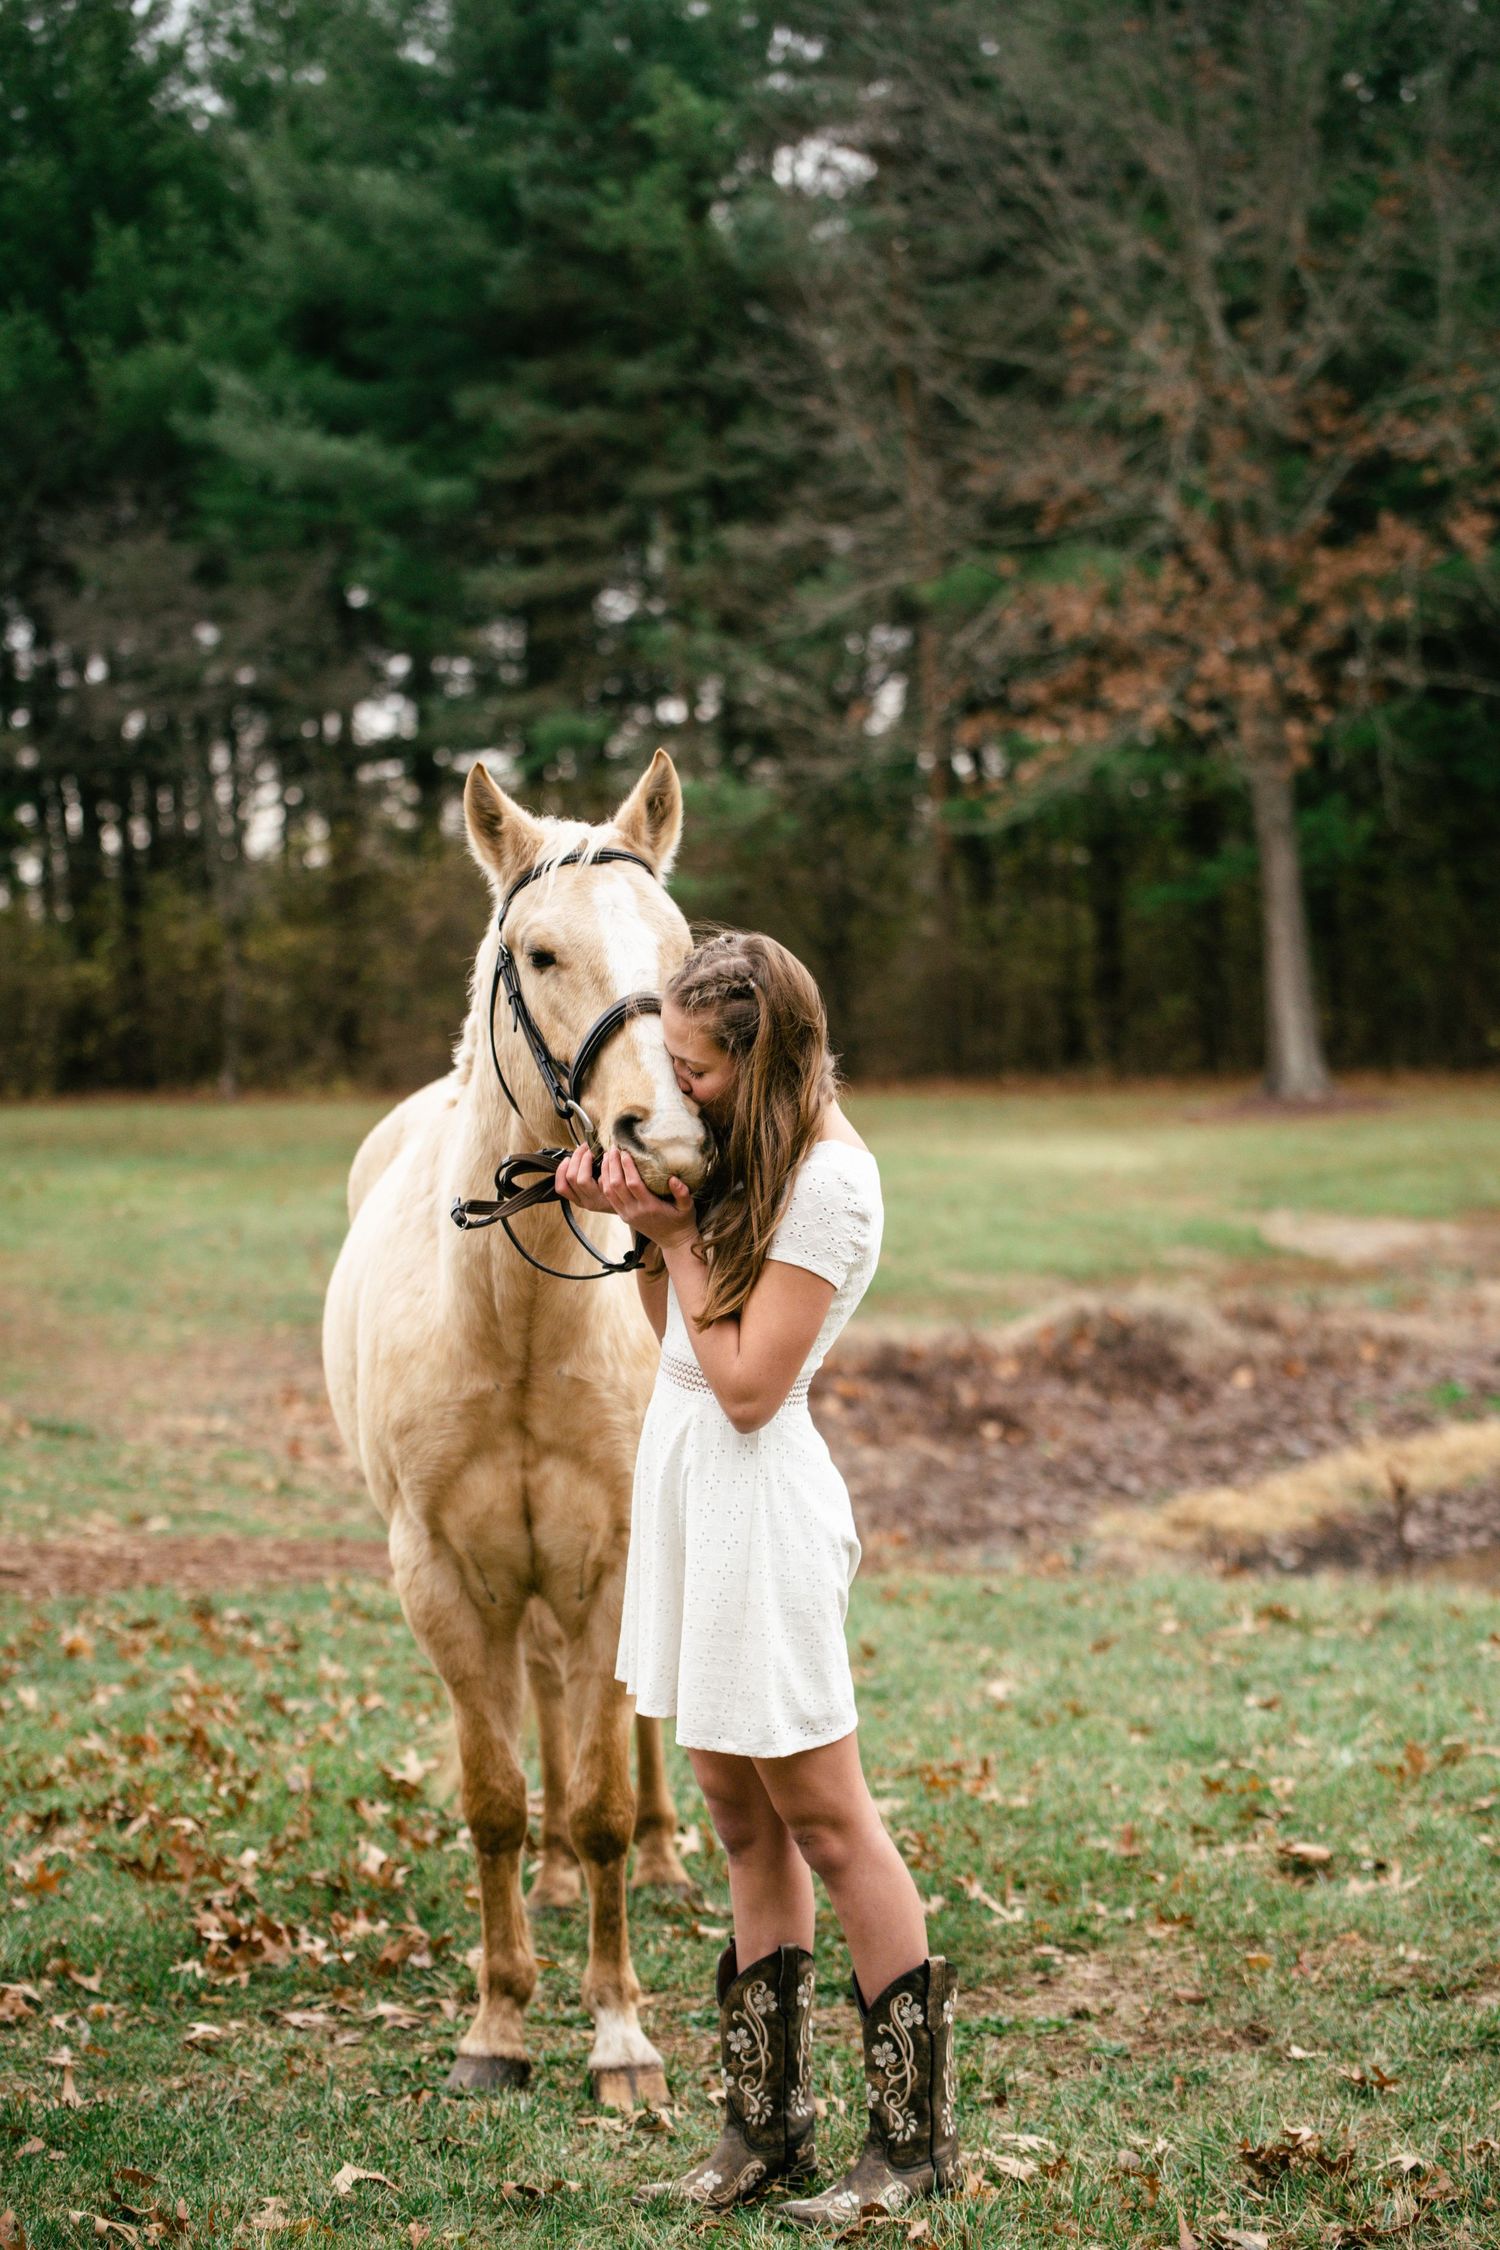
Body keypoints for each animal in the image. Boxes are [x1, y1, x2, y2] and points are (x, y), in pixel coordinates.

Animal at [322, 749, 710, 2106]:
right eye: (538, 954)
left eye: (681, 948)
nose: (670, 1136)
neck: (516, 1326)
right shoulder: (441, 1576)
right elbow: (493, 1798)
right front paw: (496, 2024)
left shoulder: (609, 1563)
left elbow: (599, 1798)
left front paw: (619, 2035)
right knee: (541, 1704)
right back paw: (544, 1884)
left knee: (627, 1729)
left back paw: (662, 1861)